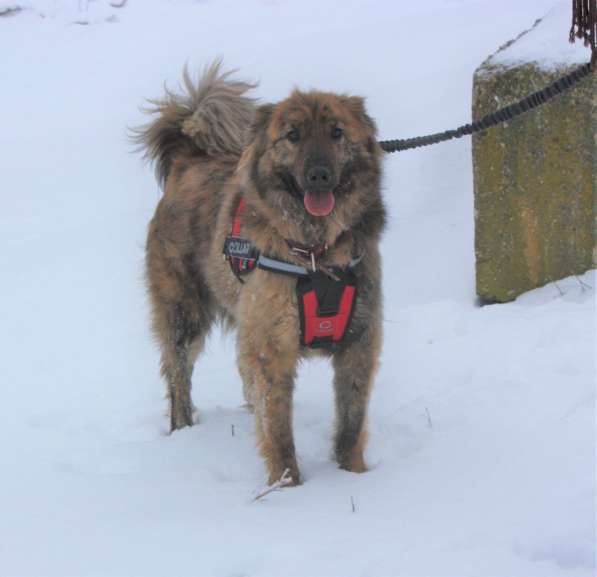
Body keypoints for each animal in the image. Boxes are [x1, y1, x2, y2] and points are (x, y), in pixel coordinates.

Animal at [134, 62, 386, 486]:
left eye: (337, 132)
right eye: (293, 135)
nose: (319, 175)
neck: (316, 254)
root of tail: (189, 160)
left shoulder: (359, 340)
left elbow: (351, 424)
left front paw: (353, 475)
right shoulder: (273, 344)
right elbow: (279, 428)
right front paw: (287, 485)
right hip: (184, 312)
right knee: (178, 373)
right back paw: (183, 429)